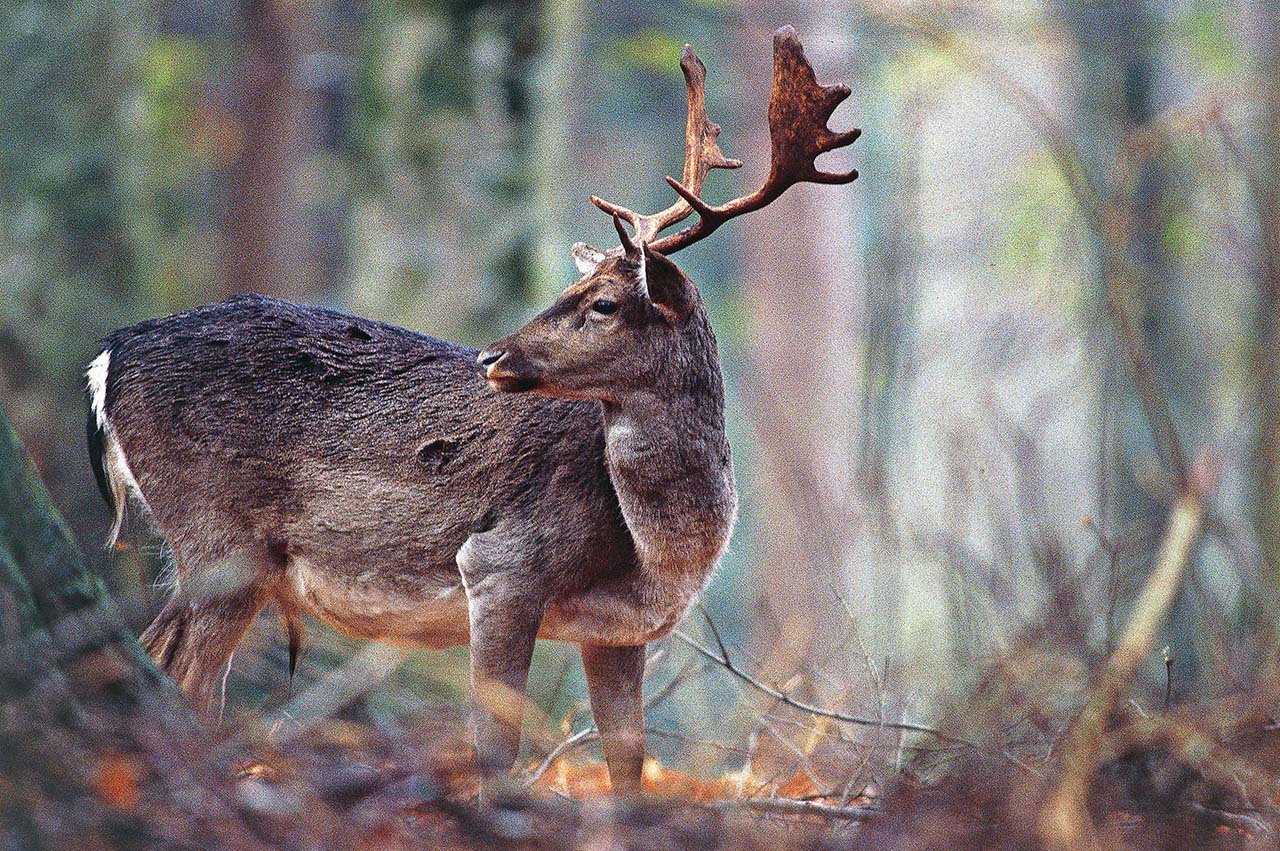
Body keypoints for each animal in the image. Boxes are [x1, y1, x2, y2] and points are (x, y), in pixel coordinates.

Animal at [82, 26, 860, 798]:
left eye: (605, 303)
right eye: (578, 293)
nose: (492, 355)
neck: (659, 552)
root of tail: (108, 356)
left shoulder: (617, 631)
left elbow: (627, 762)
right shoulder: (501, 564)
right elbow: (493, 746)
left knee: (151, 662)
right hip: (220, 535)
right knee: (183, 681)